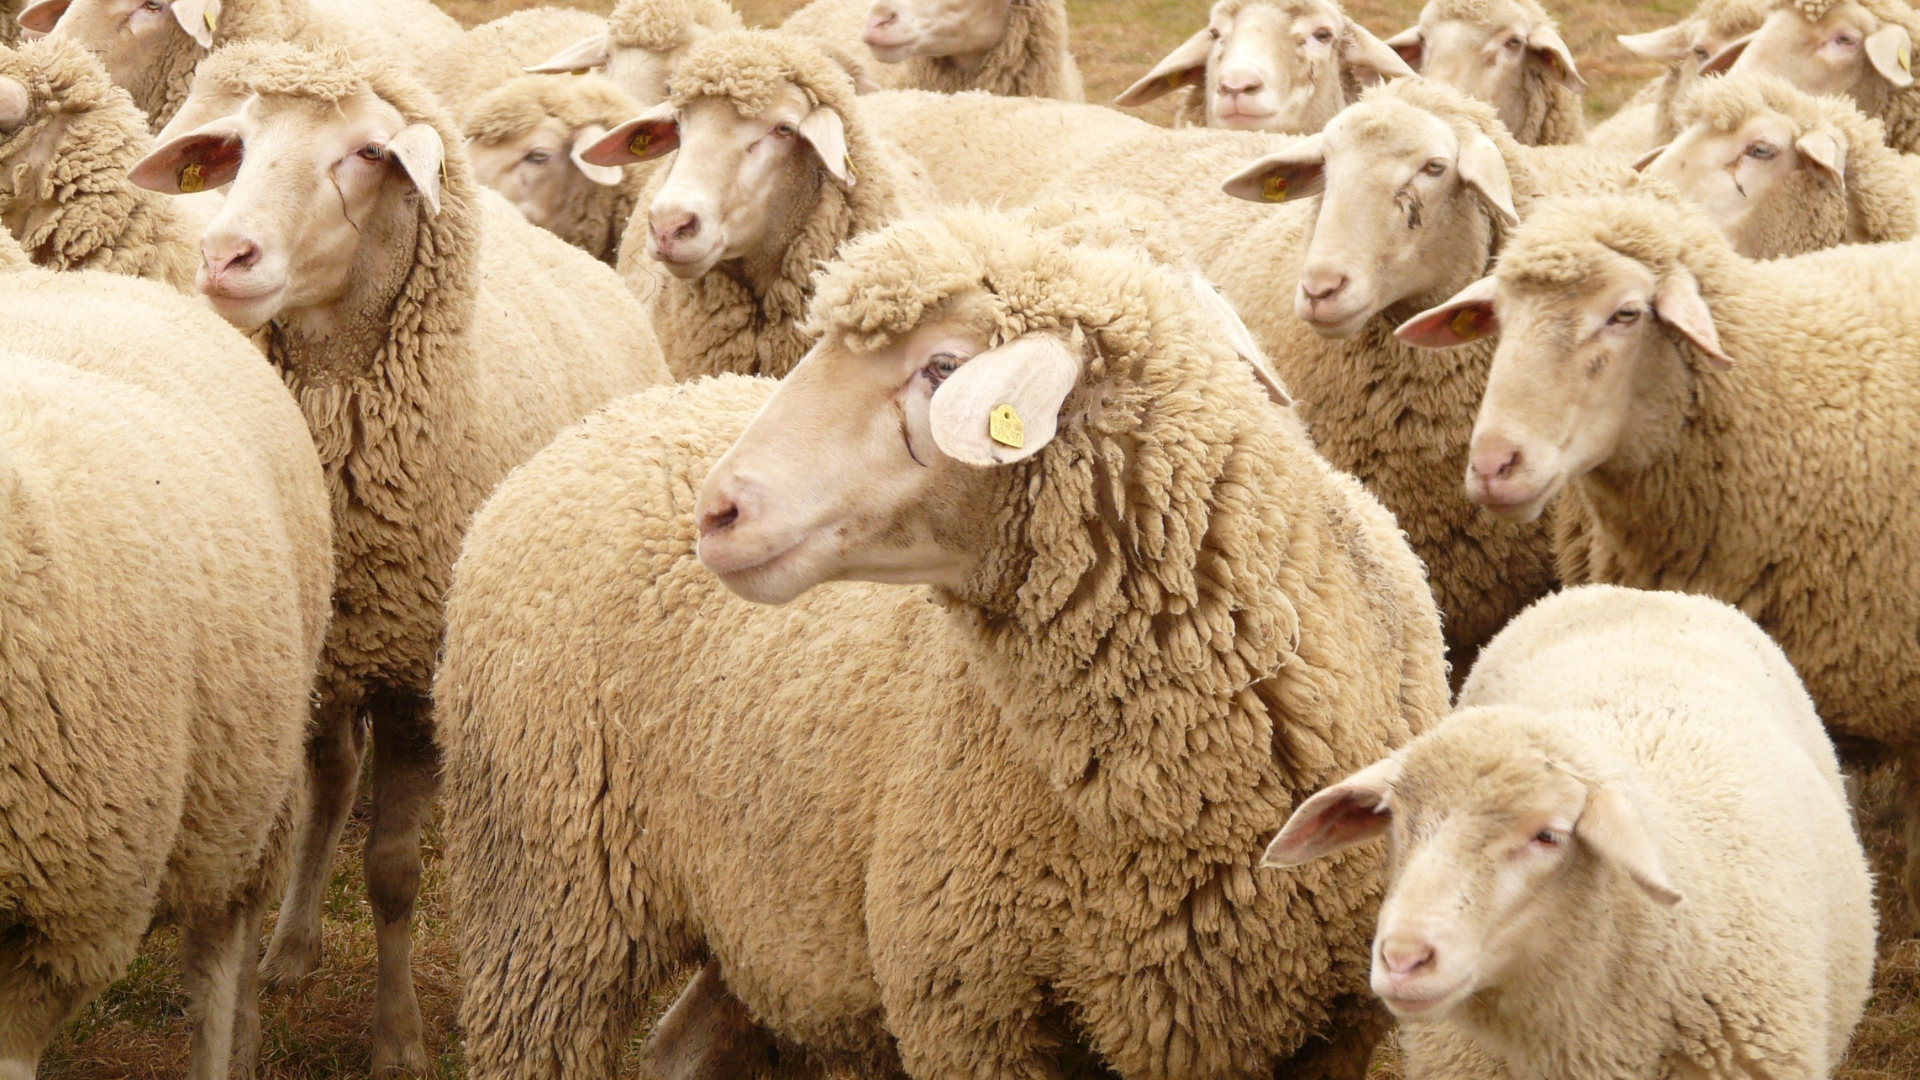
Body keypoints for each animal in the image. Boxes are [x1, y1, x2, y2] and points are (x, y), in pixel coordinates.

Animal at [440, 201, 1449, 1080]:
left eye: (941, 368)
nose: (717, 512)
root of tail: (597, 427)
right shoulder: (968, 1008)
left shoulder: (1331, 1029)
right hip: (544, 908)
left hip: (764, 921)